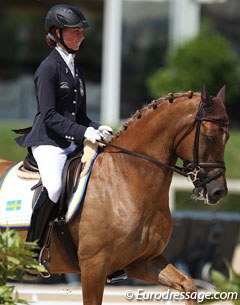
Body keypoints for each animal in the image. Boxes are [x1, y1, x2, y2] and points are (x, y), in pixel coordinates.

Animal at [0, 83, 229, 304]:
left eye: (226, 138)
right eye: (209, 137)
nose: (218, 191)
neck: (126, 179)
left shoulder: (142, 261)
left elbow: (188, 285)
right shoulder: (93, 266)